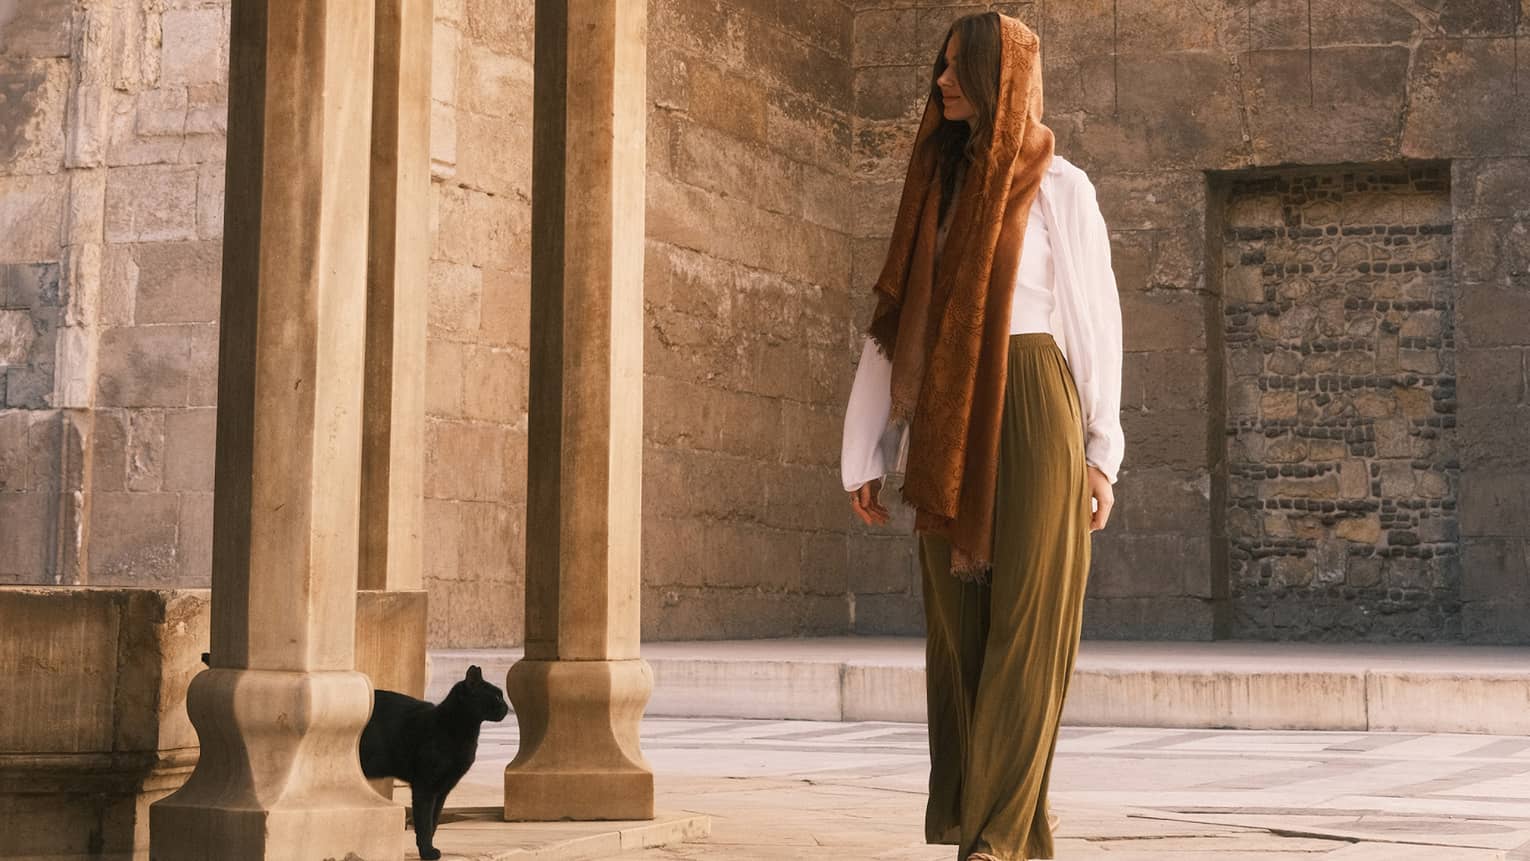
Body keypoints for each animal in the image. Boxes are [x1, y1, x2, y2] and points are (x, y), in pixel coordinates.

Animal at [359, 666, 514, 861]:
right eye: (496, 697)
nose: (506, 707)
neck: (464, 733)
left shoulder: (442, 790)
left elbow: (433, 821)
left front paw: (428, 848)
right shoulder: (425, 787)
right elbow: (424, 821)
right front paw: (427, 852)